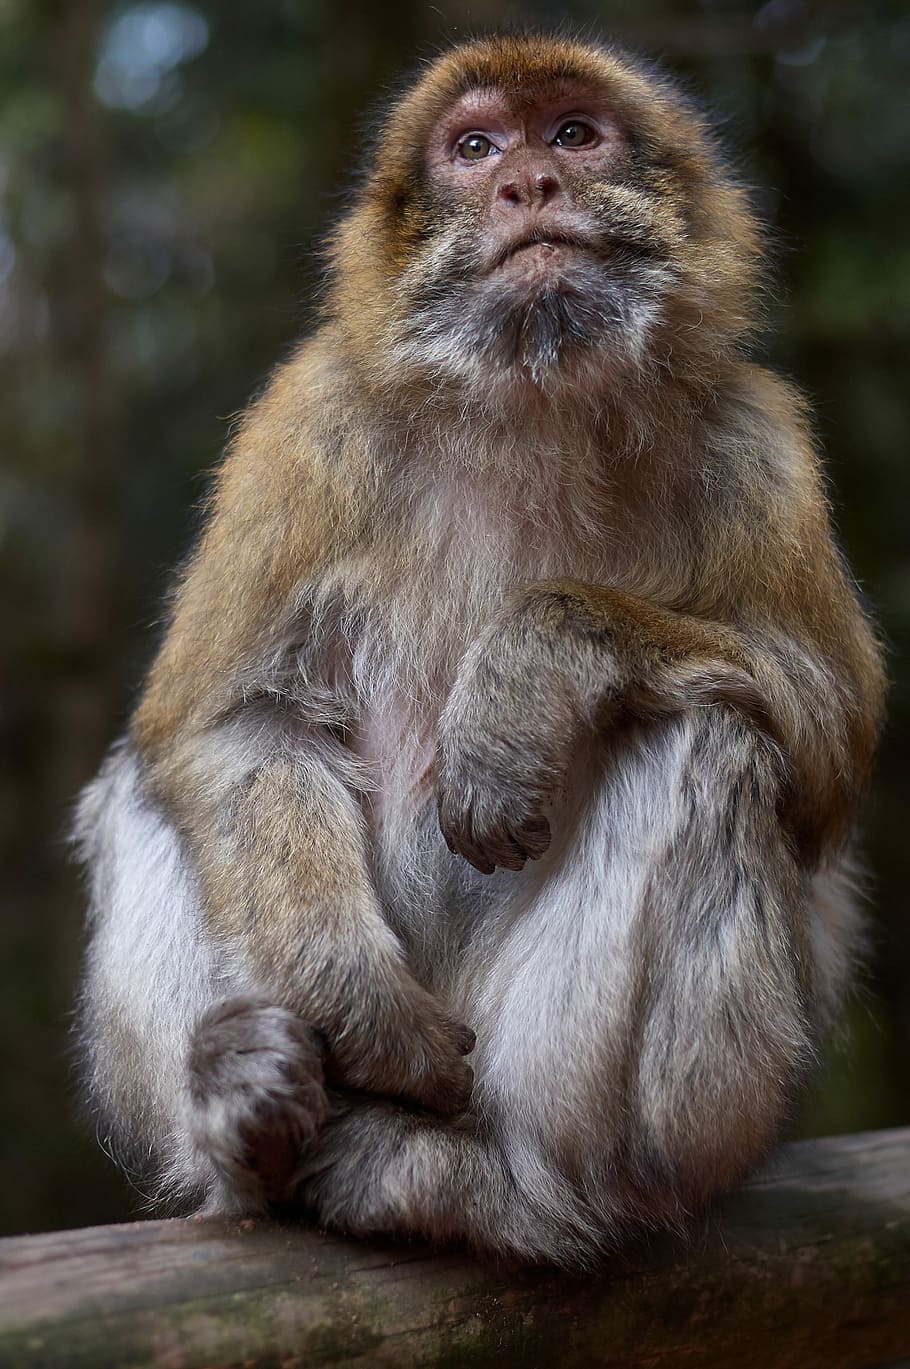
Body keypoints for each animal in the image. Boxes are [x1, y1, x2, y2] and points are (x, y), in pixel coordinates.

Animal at [75, 33, 885, 1267]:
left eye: (573, 135)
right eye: (474, 146)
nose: (526, 184)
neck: (532, 398)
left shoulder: (756, 440)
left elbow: (831, 734)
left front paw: (530, 668)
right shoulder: (310, 423)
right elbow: (225, 722)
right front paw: (355, 1001)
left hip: (695, 1125)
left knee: (708, 740)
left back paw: (504, 1184)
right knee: (144, 780)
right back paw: (241, 1113)